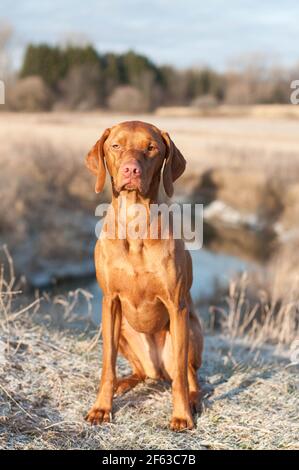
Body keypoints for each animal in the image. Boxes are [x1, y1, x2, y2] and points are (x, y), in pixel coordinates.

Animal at [85, 120, 205, 430]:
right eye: (116, 145)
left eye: (151, 148)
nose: (131, 170)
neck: (134, 224)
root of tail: (158, 372)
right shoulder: (109, 301)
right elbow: (107, 365)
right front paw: (102, 407)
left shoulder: (176, 305)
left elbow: (181, 379)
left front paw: (181, 415)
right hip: (123, 331)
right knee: (139, 372)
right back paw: (124, 383)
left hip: (190, 330)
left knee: (188, 375)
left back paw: (193, 400)